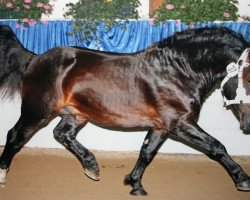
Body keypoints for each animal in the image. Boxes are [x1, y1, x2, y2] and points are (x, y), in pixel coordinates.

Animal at [0, 25, 250, 195]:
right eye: (248, 79)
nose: (247, 124)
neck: (178, 70)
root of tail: (35, 59)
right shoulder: (180, 123)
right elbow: (216, 146)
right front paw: (242, 180)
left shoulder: (161, 127)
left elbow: (146, 153)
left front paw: (135, 184)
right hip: (37, 111)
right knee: (15, 136)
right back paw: (3, 174)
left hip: (75, 114)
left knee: (61, 134)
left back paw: (92, 167)